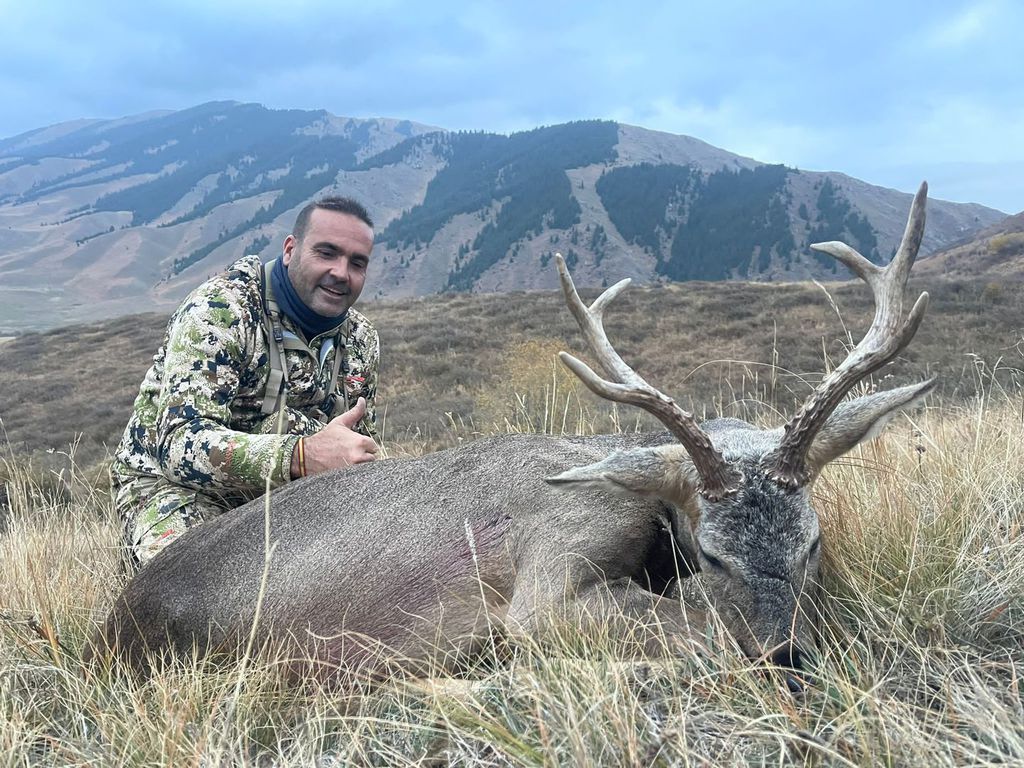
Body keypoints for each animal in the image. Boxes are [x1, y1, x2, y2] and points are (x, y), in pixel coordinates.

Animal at [86, 183, 934, 691]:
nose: (789, 660)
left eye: (812, 543)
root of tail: (112, 625)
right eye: (715, 552)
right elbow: (689, 624)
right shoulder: (551, 574)